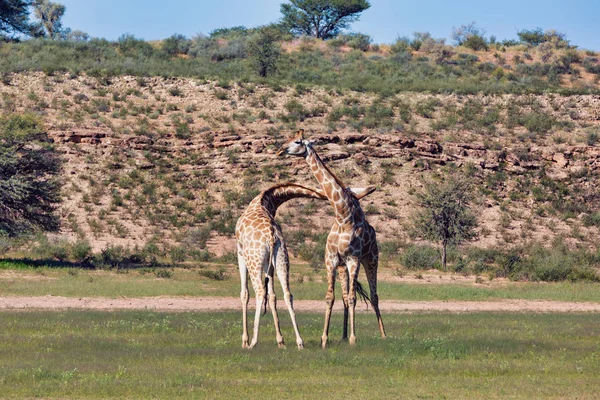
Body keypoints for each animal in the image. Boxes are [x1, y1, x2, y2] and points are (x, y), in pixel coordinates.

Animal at [278, 130, 386, 348]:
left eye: (297, 141)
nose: (280, 150)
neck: (342, 215)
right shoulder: (332, 260)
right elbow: (331, 297)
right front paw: (324, 339)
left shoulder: (353, 259)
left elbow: (353, 298)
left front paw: (353, 338)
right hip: (344, 267)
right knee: (345, 296)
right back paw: (343, 336)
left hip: (371, 260)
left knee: (374, 296)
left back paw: (383, 335)